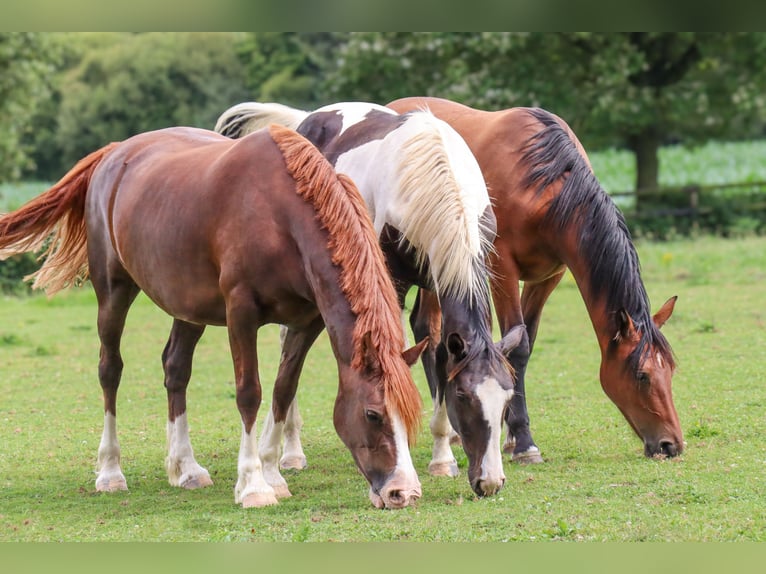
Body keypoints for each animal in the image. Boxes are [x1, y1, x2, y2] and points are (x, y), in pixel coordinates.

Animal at [0, 125, 428, 508]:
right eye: (373, 414)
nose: (402, 492)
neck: (280, 217)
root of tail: (113, 152)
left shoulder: (307, 322)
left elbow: (283, 390)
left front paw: (272, 475)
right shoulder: (241, 314)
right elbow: (250, 393)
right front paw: (253, 486)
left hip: (188, 306)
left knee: (175, 369)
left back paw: (185, 468)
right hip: (113, 292)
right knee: (110, 369)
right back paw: (110, 472)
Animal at [218, 101, 528, 498]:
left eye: (506, 399)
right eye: (463, 397)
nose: (489, 481)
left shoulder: (438, 276)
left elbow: (438, 349)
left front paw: (442, 457)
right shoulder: (390, 280)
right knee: (289, 345)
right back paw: (291, 451)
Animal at [390, 94, 684, 464]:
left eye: (670, 370)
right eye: (641, 375)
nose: (671, 445)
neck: (544, 184)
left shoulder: (548, 277)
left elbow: (524, 342)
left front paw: (510, 434)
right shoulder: (502, 269)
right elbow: (517, 347)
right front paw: (524, 443)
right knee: (429, 329)